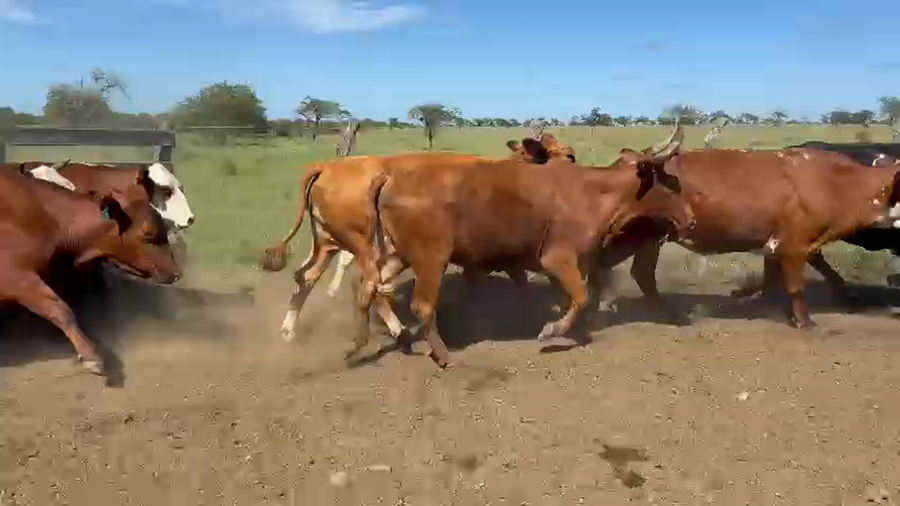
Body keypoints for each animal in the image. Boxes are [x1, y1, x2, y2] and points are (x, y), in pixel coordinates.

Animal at [261, 135, 577, 344]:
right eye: (569, 155)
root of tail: (328, 167)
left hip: (329, 244)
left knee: (307, 278)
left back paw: (290, 330)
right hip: (362, 246)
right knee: (363, 283)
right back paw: (397, 328)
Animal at [352, 126, 693, 368]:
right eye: (670, 183)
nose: (690, 218)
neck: (591, 191)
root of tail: (390, 177)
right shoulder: (558, 259)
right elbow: (580, 298)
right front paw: (551, 330)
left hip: (398, 255)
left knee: (370, 287)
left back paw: (366, 343)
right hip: (430, 259)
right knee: (420, 305)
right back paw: (442, 354)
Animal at [592, 147, 900, 330]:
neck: (836, 181)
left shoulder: (779, 243)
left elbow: (774, 278)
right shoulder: (796, 244)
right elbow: (796, 286)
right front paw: (804, 321)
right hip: (642, 236)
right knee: (630, 270)